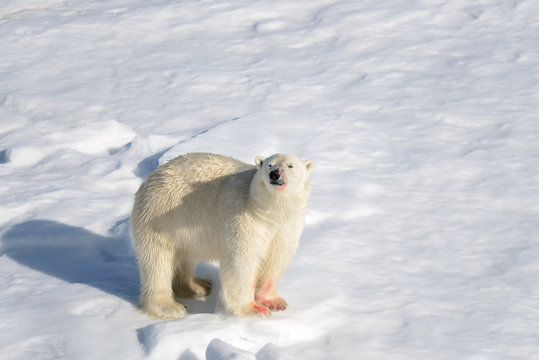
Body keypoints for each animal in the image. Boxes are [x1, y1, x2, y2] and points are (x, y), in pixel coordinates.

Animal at [130, 151, 314, 318]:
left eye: (290, 166)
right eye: (269, 164)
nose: (274, 174)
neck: (270, 211)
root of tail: (149, 179)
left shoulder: (286, 227)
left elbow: (276, 259)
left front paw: (274, 302)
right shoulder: (244, 219)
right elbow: (241, 260)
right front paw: (253, 309)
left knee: (185, 257)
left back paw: (197, 286)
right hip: (158, 217)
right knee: (157, 263)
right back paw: (170, 306)